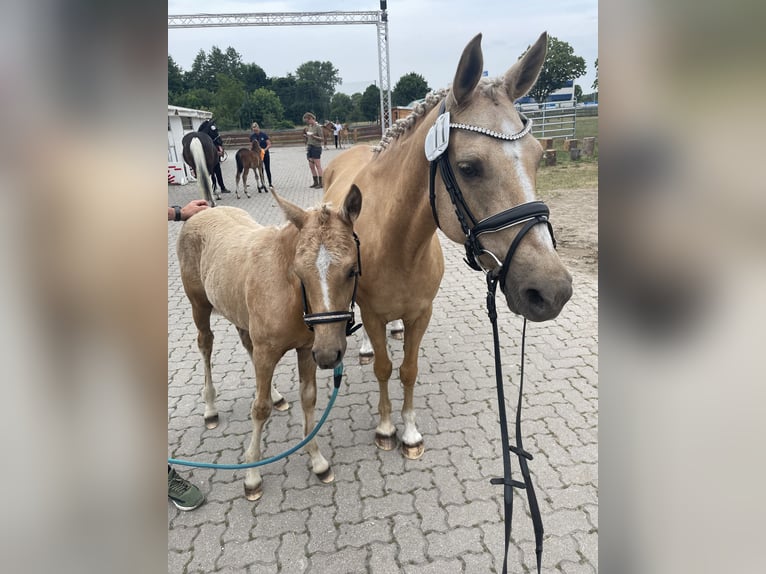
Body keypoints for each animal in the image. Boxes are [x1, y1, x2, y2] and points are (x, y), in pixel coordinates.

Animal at [177, 188, 364, 500]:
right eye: (300, 272)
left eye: (351, 270)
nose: (329, 355)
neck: (288, 293)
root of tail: (204, 210)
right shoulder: (269, 352)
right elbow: (259, 408)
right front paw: (252, 475)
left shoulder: (306, 350)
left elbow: (308, 398)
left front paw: (317, 460)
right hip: (199, 307)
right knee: (205, 344)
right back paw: (210, 408)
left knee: (245, 345)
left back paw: (275, 395)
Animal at [322, 33, 568, 462]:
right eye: (469, 167)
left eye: (539, 158)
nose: (552, 291)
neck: (397, 246)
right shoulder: (371, 312)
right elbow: (384, 368)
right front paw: (386, 428)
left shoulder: (422, 313)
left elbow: (408, 369)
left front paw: (410, 433)